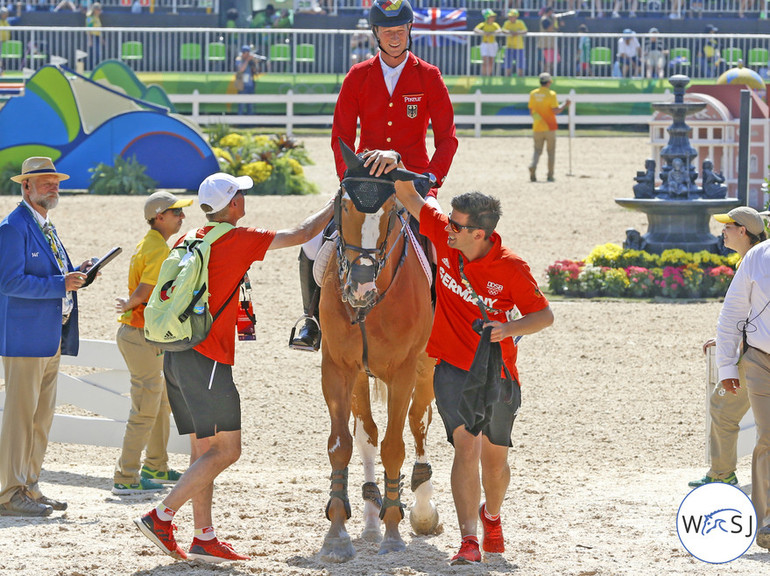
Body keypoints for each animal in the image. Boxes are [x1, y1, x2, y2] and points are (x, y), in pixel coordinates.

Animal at [318, 150, 438, 564]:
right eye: (345, 205)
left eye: (389, 211)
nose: (360, 286)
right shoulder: (338, 368)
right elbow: (342, 445)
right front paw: (337, 535)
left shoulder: (403, 372)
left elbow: (395, 446)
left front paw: (394, 531)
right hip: (360, 376)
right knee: (367, 434)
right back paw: (371, 516)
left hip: (425, 369)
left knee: (418, 424)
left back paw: (420, 509)